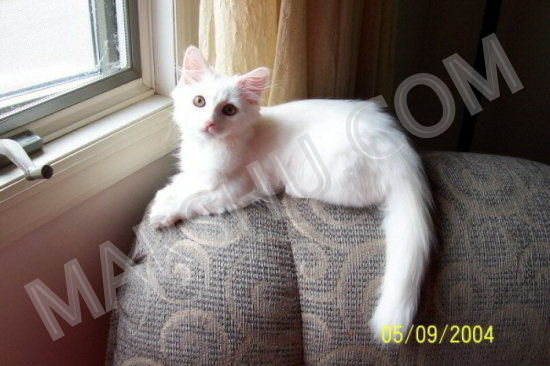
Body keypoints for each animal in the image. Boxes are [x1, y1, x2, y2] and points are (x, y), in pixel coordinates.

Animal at [151, 46, 436, 340]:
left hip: (323, 174)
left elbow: (193, 198)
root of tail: (401, 150)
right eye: (199, 101)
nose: (208, 123)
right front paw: (163, 198)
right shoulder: (198, 173)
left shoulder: (237, 187)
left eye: (229, 110)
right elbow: (183, 183)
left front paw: (162, 213)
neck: (208, 148)